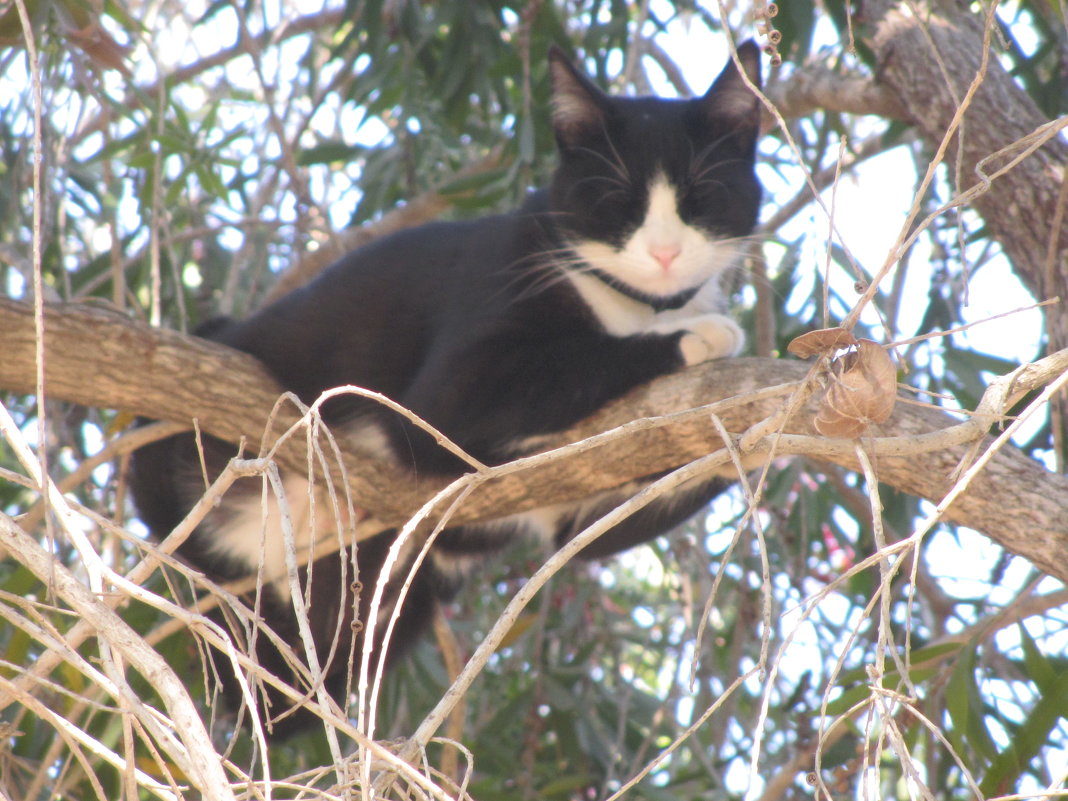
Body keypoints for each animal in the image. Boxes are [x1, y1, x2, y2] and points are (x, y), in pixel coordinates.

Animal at [129, 40, 764, 739]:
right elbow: (559, 369)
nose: (665, 254)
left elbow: (595, 524)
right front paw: (706, 334)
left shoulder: (570, 514)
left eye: (703, 195)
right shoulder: (468, 351)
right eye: (617, 198)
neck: (636, 304)